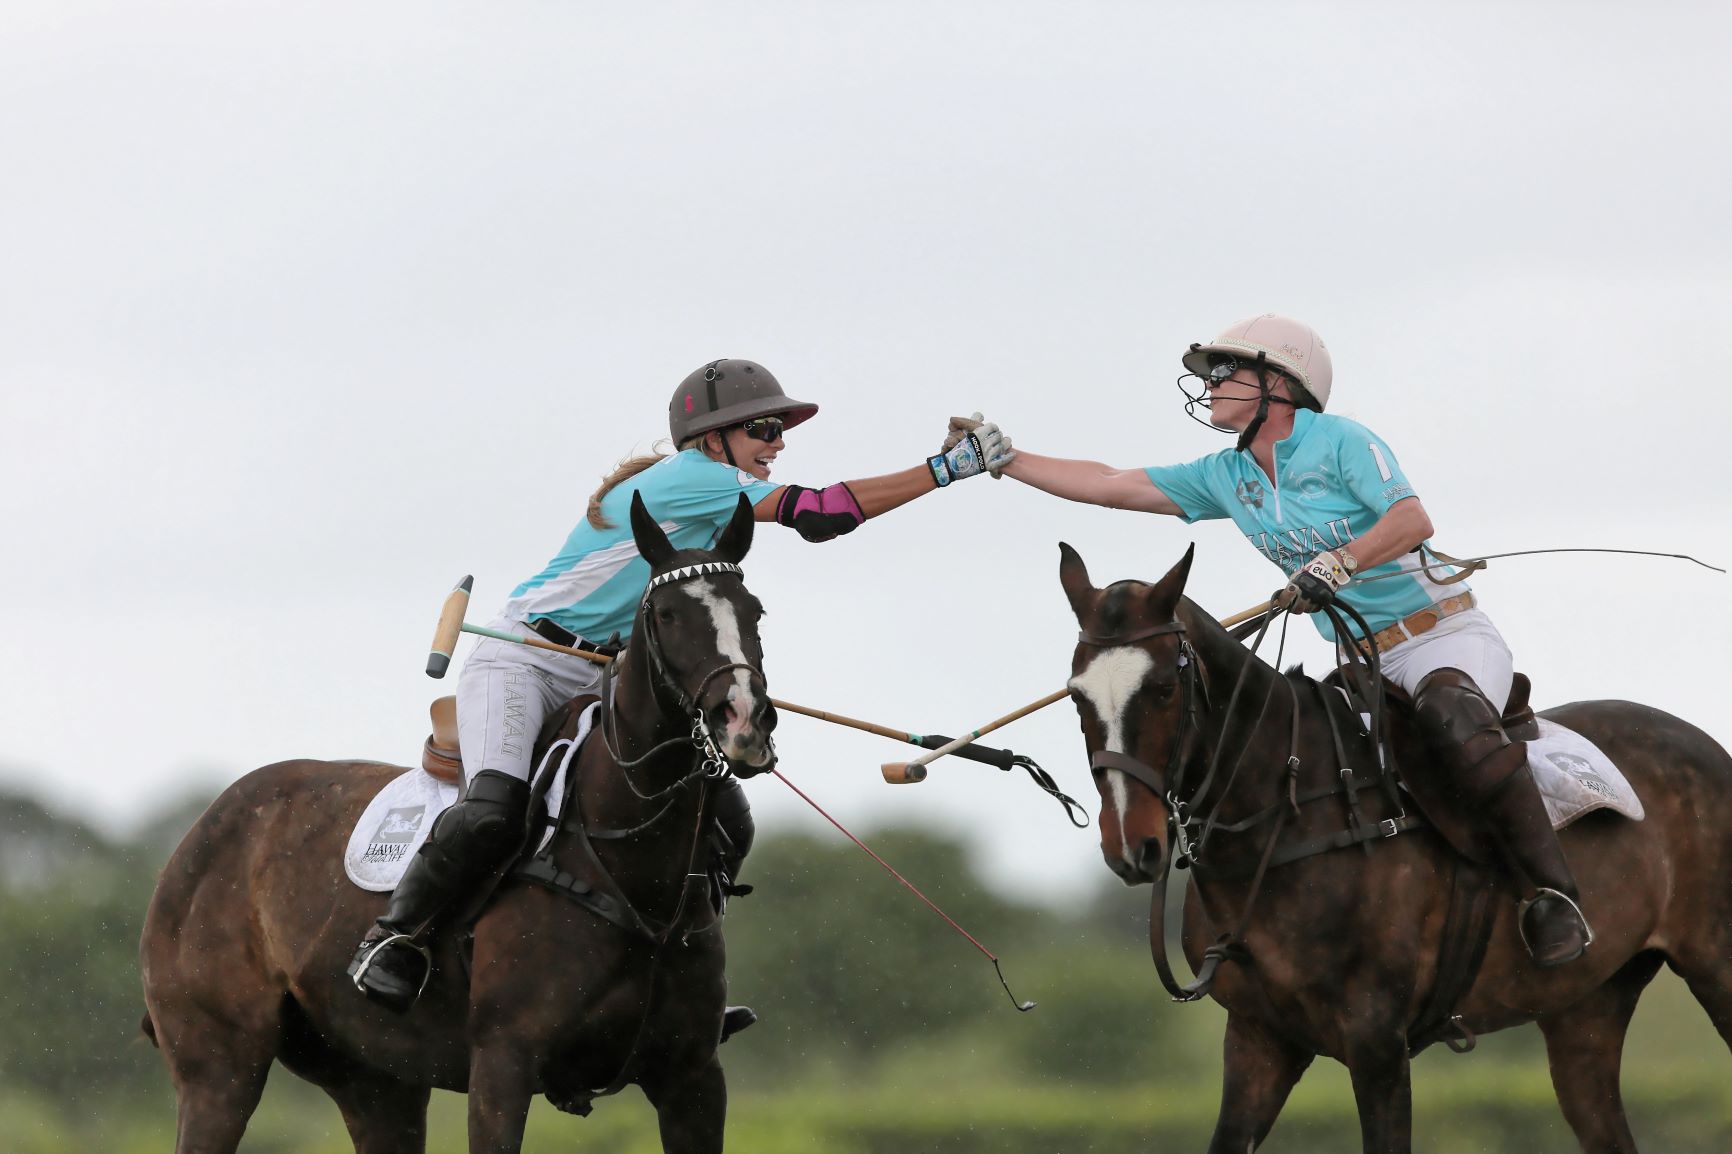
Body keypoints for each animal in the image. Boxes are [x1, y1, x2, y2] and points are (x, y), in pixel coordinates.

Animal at [141, 492, 777, 1154]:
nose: (744, 720)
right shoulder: (502, 1063)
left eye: (755, 611)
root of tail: (197, 837)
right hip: (218, 1066)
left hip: (375, 1080)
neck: (632, 864)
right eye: (669, 614)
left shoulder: (692, 1075)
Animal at [1058, 542, 1732, 1154]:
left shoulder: (1377, 1039)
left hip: (1714, 964)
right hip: (1585, 1011)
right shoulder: (1258, 1037)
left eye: (1163, 688)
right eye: (1077, 696)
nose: (1133, 847)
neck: (1289, 812)